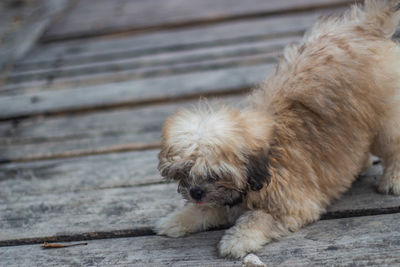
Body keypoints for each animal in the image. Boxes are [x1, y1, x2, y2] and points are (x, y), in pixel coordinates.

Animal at [154, 0, 400, 260]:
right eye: (183, 172)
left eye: (215, 174)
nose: (196, 193)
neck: (265, 165)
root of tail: (363, 25)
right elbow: (207, 209)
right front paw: (177, 219)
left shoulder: (292, 206)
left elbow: (259, 218)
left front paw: (238, 240)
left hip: (384, 118)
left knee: (394, 145)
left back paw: (393, 177)